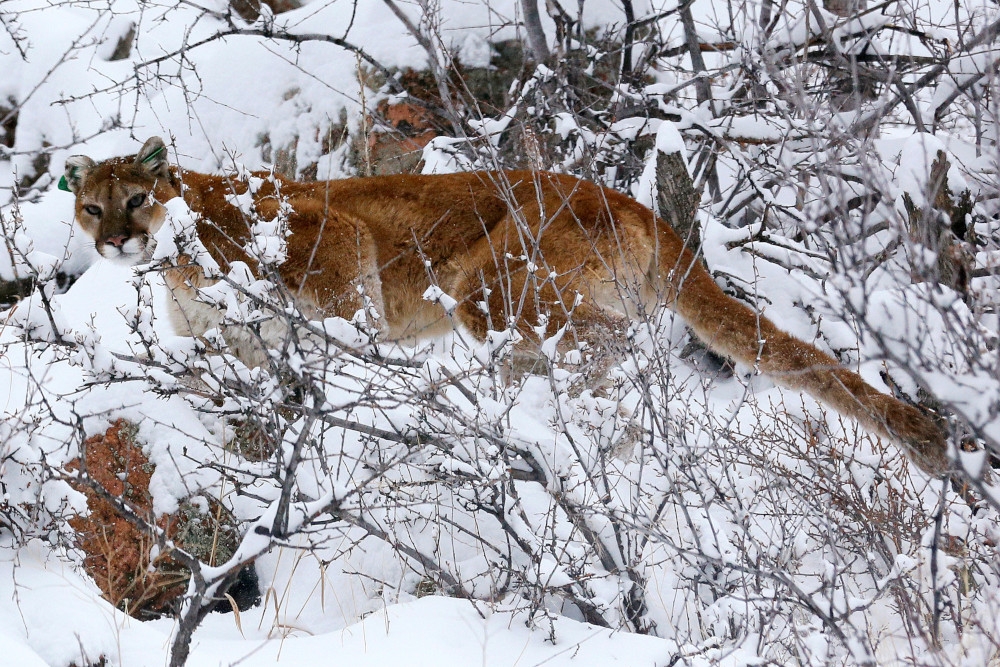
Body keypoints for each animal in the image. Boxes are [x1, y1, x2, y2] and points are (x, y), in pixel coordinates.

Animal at [62, 136, 949, 475]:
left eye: (137, 198)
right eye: (92, 207)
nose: (116, 241)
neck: (180, 262)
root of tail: (628, 198)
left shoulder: (337, 239)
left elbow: (343, 324)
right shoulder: (222, 344)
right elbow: (213, 384)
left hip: (488, 289)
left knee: (616, 340)